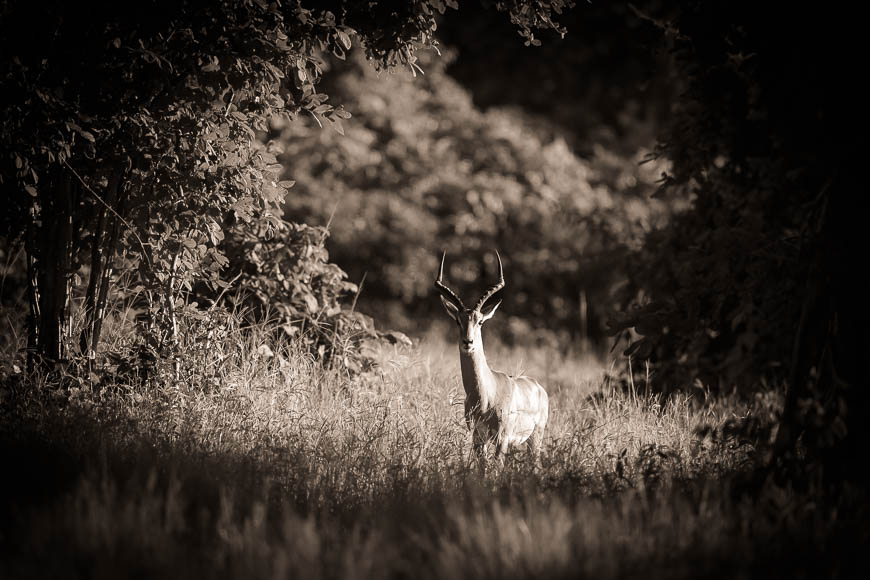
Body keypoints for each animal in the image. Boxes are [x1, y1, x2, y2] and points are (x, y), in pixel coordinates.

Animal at [435, 251, 549, 469]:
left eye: (480, 321)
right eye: (458, 320)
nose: (468, 342)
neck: (487, 394)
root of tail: (538, 387)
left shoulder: (502, 438)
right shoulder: (478, 438)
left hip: (535, 437)